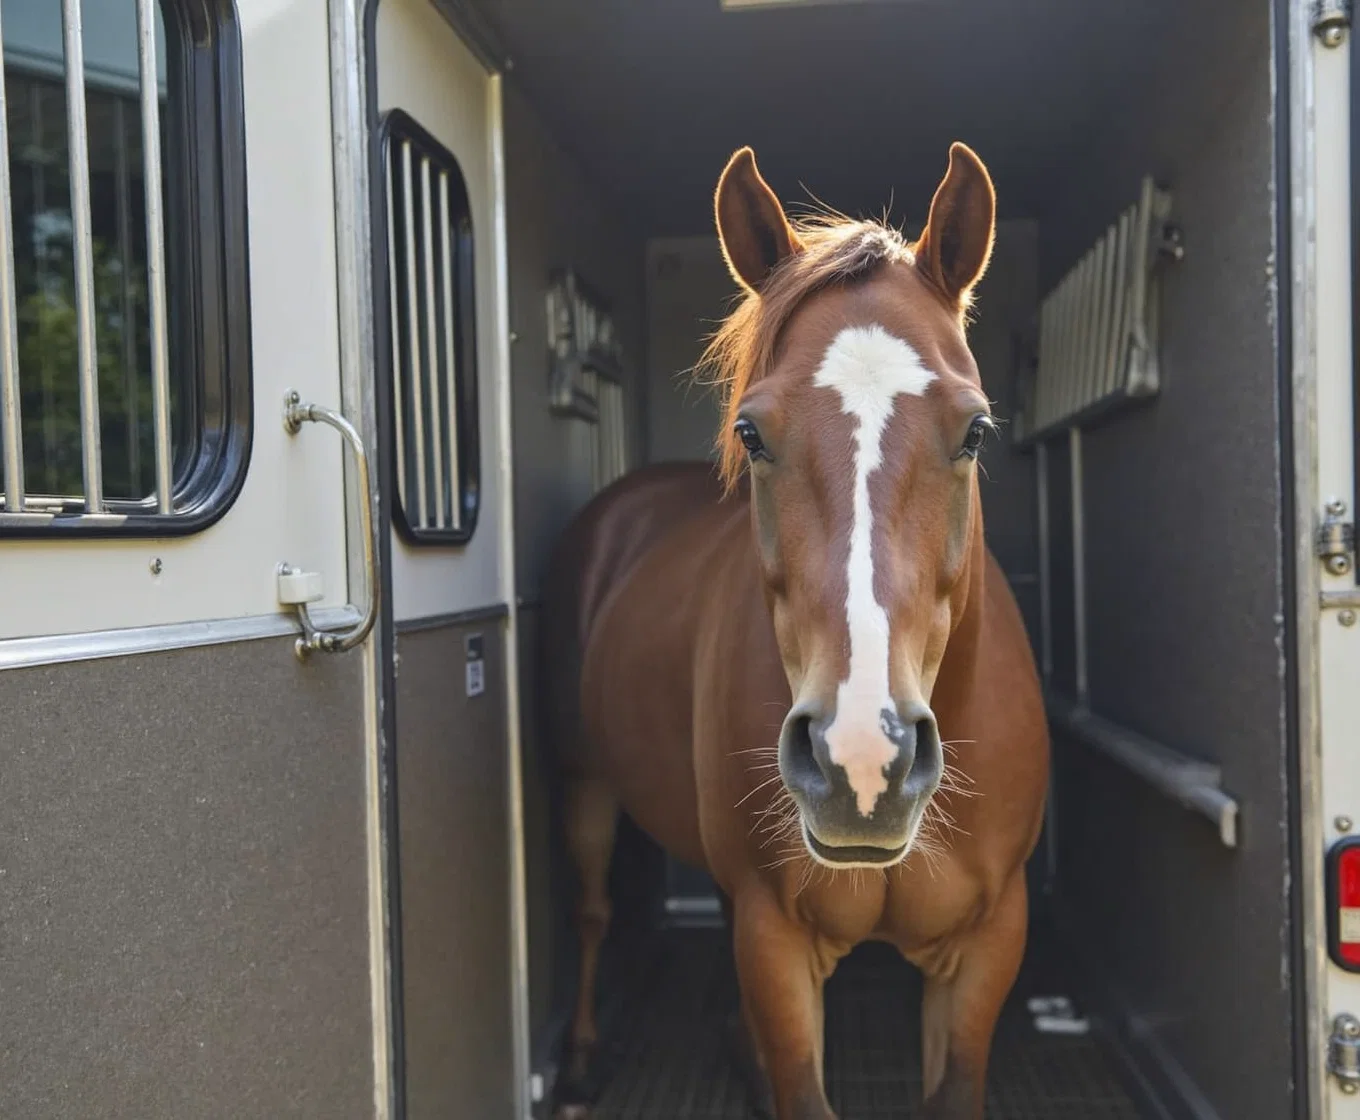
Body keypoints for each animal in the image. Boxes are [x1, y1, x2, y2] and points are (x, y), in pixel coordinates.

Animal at [541, 144, 1049, 1114]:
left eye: (974, 430)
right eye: (752, 432)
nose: (863, 760)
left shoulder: (987, 947)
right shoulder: (774, 944)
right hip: (584, 781)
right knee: (588, 910)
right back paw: (581, 1058)